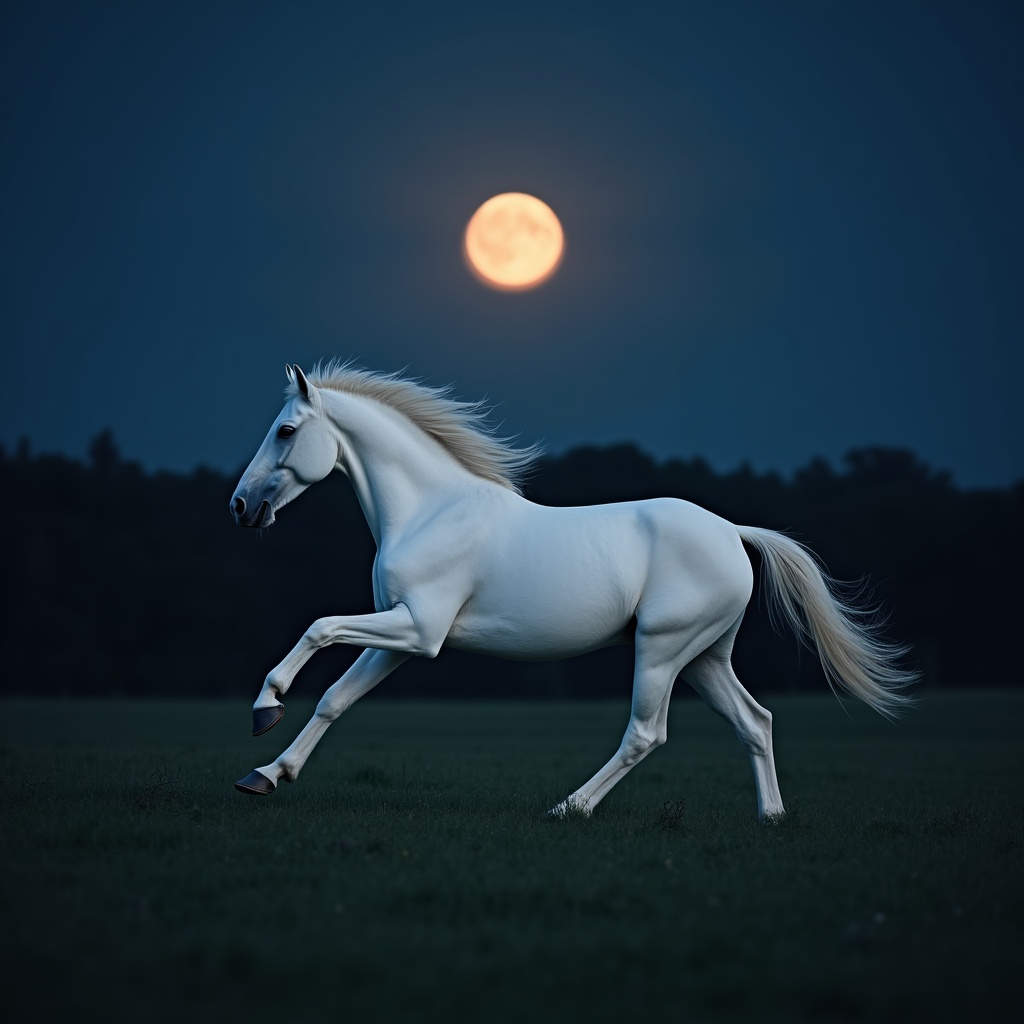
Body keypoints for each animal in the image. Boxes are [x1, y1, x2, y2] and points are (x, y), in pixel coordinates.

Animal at [229, 362, 916, 820]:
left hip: (662, 649)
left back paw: (570, 808)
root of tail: (731, 533)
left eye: (286, 431)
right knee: (756, 721)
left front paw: (266, 708)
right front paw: (266, 774)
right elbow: (336, 700)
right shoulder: (399, 635)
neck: (430, 511)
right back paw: (771, 818)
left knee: (646, 734)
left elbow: (318, 628)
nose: (240, 506)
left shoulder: (419, 630)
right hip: (704, 658)